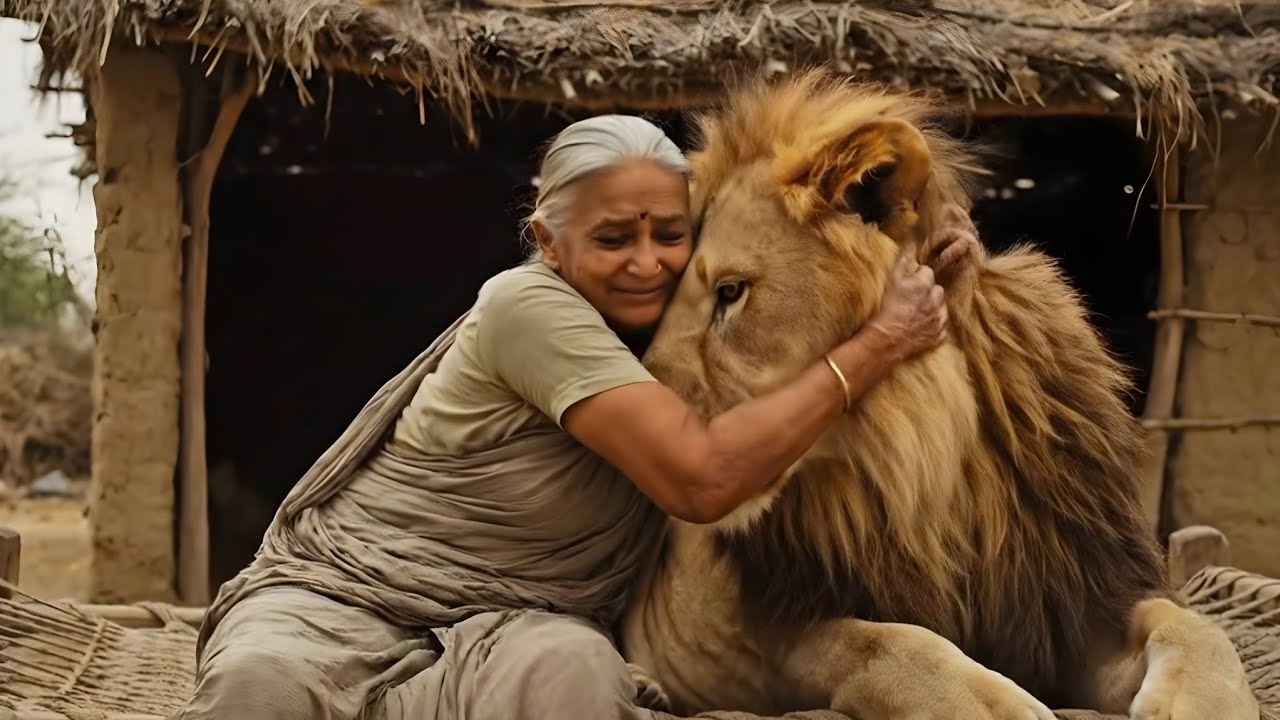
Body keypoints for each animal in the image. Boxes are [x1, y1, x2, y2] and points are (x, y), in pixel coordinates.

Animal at [619, 70, 1258, 720]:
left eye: (731, 291)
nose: (638, 441)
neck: (928, 466)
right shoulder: (779, 633)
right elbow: (887, 644)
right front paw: (996, 706)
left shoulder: (1072, 602)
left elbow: (1193, 624)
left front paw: (1204, 702)